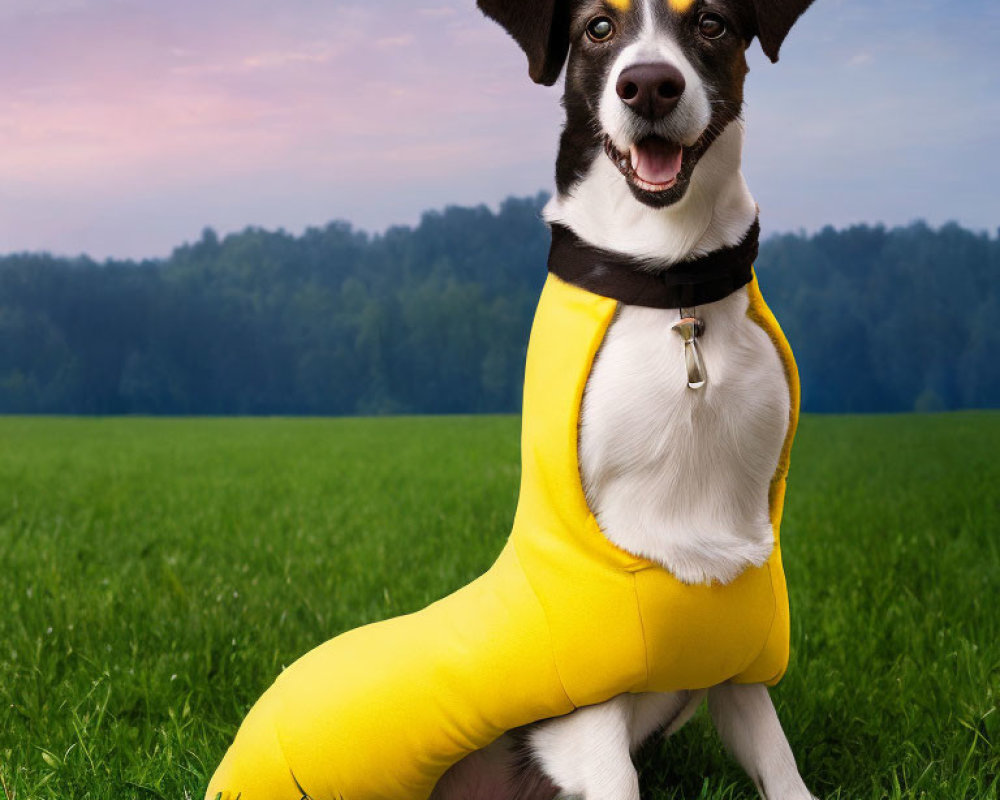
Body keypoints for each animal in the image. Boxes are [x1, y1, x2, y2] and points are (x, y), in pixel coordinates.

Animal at [205, 1, 820, 800]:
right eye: (598, 27)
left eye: (711, 23)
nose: (650, 86)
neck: (673, 280)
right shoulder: (587, 716)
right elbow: (616, 773)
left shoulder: (737, 670)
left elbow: (781, 768)